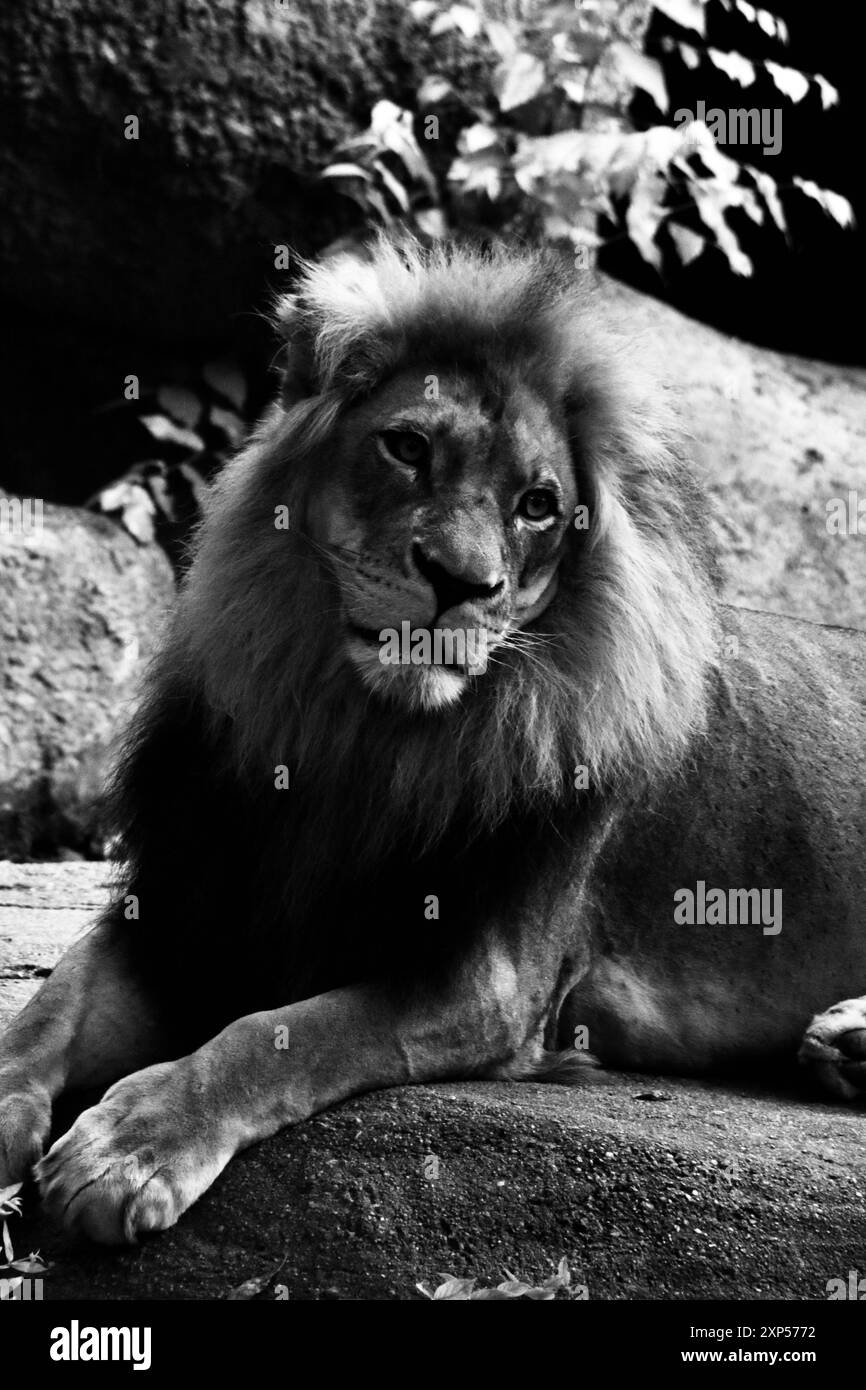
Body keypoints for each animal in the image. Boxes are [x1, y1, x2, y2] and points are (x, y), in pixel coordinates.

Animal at [1, 237, 864, 1246]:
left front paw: (131, 1147)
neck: (359, 731)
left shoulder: (483, 982)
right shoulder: (187, 902)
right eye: (407, 447)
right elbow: (43, 1014)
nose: (459, 582)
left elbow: (277, 1036)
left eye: (538, 505)